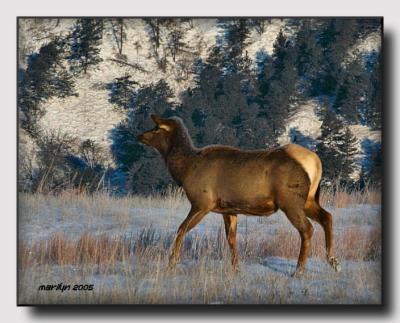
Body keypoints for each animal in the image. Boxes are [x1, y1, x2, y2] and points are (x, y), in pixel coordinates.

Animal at [138, 115, 340, 278]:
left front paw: (171, 263)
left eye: (156, 128)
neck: (184, 170)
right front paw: (236, 268)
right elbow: (231, 238)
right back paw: (333, 261)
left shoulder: (202, 202)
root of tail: (315, 162)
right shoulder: (228, 209)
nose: (139, 135)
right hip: (309, 199)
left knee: (307, 228)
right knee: (327, 217)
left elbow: (181, 229)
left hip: (290, 200)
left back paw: (299, 271)